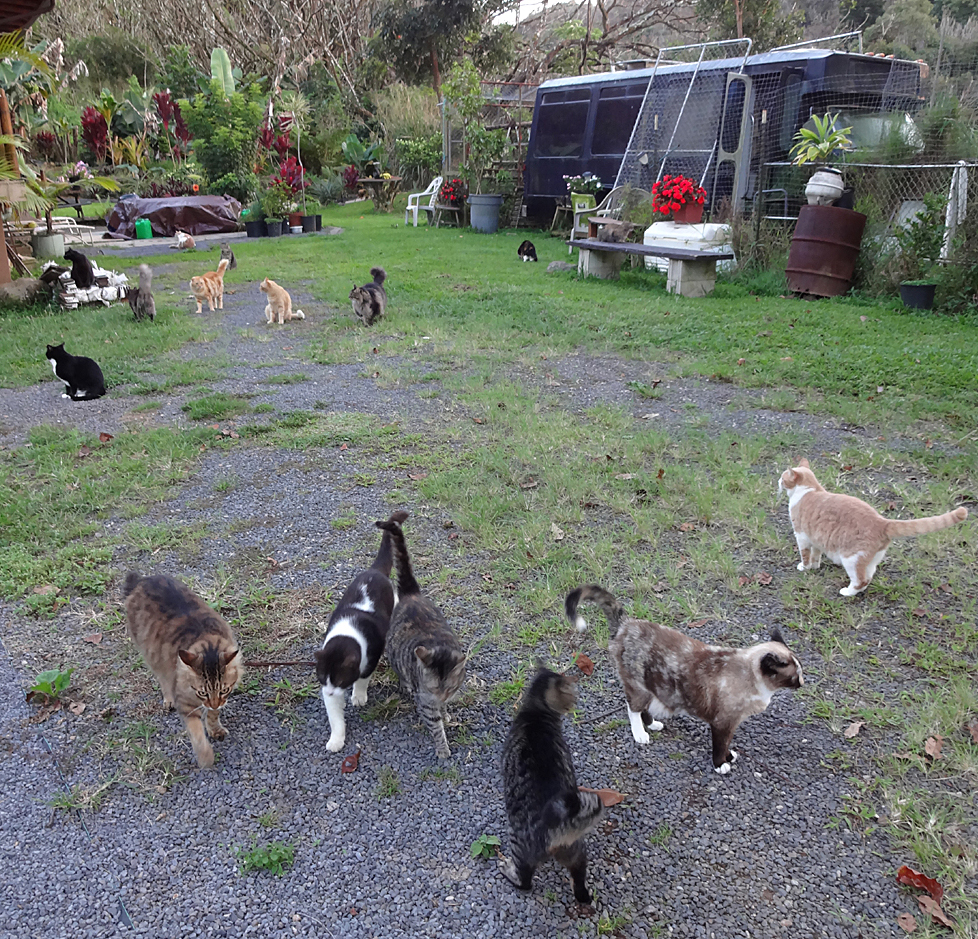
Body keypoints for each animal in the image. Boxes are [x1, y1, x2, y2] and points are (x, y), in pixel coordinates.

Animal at [122, 568, 244, 768]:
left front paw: (214, 728)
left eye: (223, 690)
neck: (206, 640)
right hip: (152, 657)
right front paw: (206, 757)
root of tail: (142, 580)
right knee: (162, 679)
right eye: (202, 692)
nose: (213, 703)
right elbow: (197, 735)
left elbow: (213, 715)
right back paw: (168, 699)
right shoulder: (186, 705)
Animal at [316, 510, 408, 752]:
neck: (348, 631)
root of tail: (374, 570)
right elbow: (335, 716)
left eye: (340, 680)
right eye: (322, 677)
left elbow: (363, 677)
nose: (329, 691)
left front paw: (358, 696)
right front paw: (336, 740)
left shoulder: (371, 655)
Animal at [500, 668, 608, 904]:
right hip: (577, 850)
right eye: (572, 695)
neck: (536, 713)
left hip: (521, 848)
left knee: (525, 882)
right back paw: (584, 896)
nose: (576, 702)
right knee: (579, 880)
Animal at [564, 584, 800, 776]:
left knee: (644, 708)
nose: (802, 684)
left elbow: (727, 744)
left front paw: (729, 757)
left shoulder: (731, 724)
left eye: (800, 673)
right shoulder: (722, 723)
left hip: (653, 686)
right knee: (632, 707)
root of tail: (627, 624)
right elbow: (720, 745)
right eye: (795, 676)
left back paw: (653, 725)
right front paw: (720, 764)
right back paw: (640, 734)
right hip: (639, 688)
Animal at [772, 458, 964, 600]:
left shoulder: (801, 535)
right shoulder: (816, 538)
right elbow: (815, 555)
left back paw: (848, 592)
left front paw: (804, 567)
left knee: (861, 579)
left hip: (851, 558)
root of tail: (882, 521)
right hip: (870, 559)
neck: (810, 489)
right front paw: (814, 566)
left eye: (782, 477)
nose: (777, 481)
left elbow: (805, 555)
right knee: (869, 575)